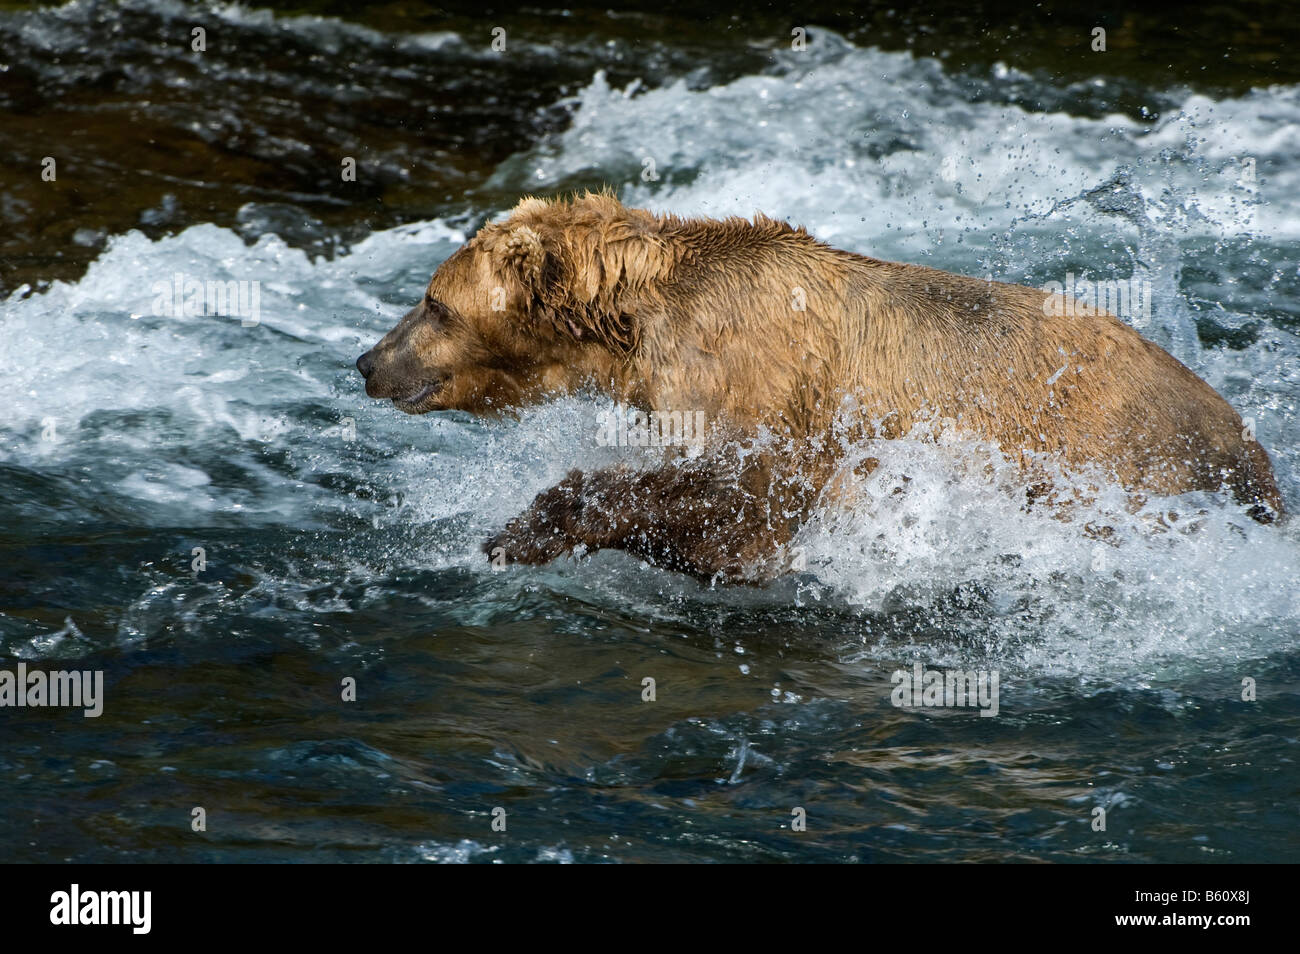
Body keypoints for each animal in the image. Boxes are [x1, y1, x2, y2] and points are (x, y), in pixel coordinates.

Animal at [356, 193, 1285, 582]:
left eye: (432, 302)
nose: (367, 361)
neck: (633, 330)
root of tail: (1251, 443)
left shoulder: (768, 392)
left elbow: (738, 500)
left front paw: (522, 530)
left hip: (1116, 458)